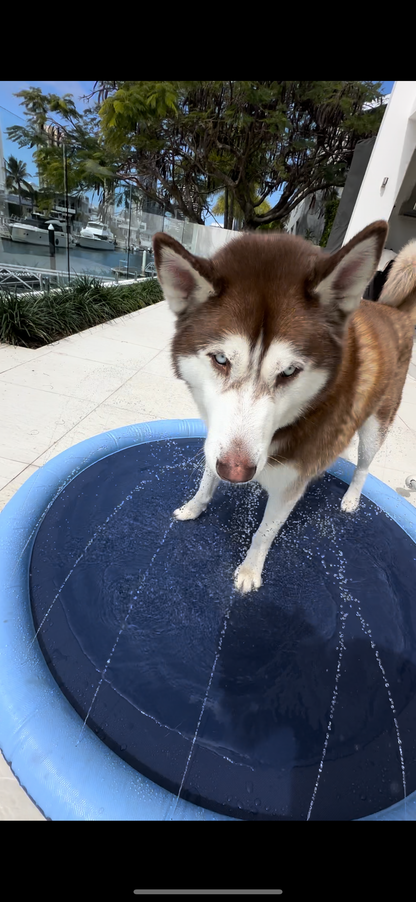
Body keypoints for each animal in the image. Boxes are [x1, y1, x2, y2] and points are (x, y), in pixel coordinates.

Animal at [153, 226, 416, 592]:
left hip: (376, 425)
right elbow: (207, 479)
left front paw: (250, 571)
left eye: (289, 371)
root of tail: (395, 312)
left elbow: (264, 532)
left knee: (364, 464)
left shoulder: (290, 484)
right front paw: (194, 507)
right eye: (220, 359)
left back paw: (352, 497)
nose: (236, 472)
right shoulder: (218, 439)